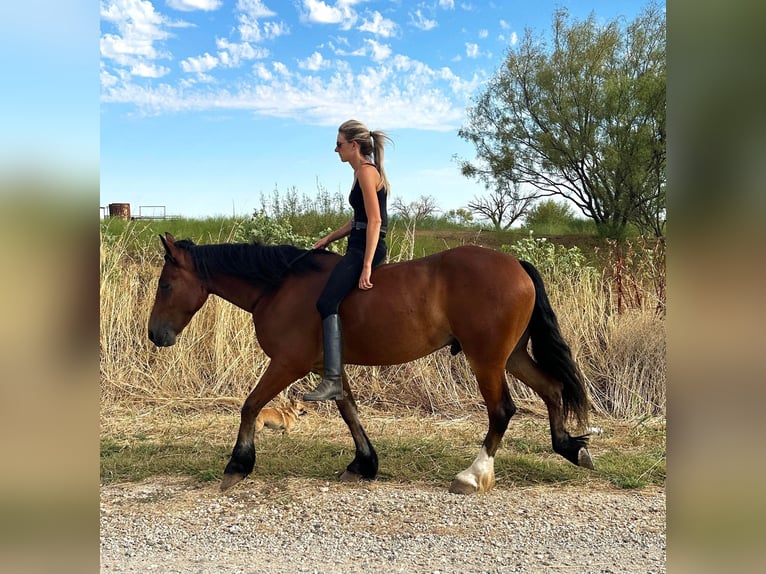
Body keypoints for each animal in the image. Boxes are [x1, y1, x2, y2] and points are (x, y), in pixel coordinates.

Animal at [148, 234, 592, 496]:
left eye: (166, 284)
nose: (155, 334)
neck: (278, 287)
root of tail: (516, 264)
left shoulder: (288, 363)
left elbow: (251, 405)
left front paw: (237, 465)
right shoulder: (327, 367)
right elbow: (349, 410)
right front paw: (364, 464)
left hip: (487, 359)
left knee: (502, 410)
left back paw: (472, 474)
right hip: (512, 355)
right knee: (552, 389)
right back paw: (571, 447)